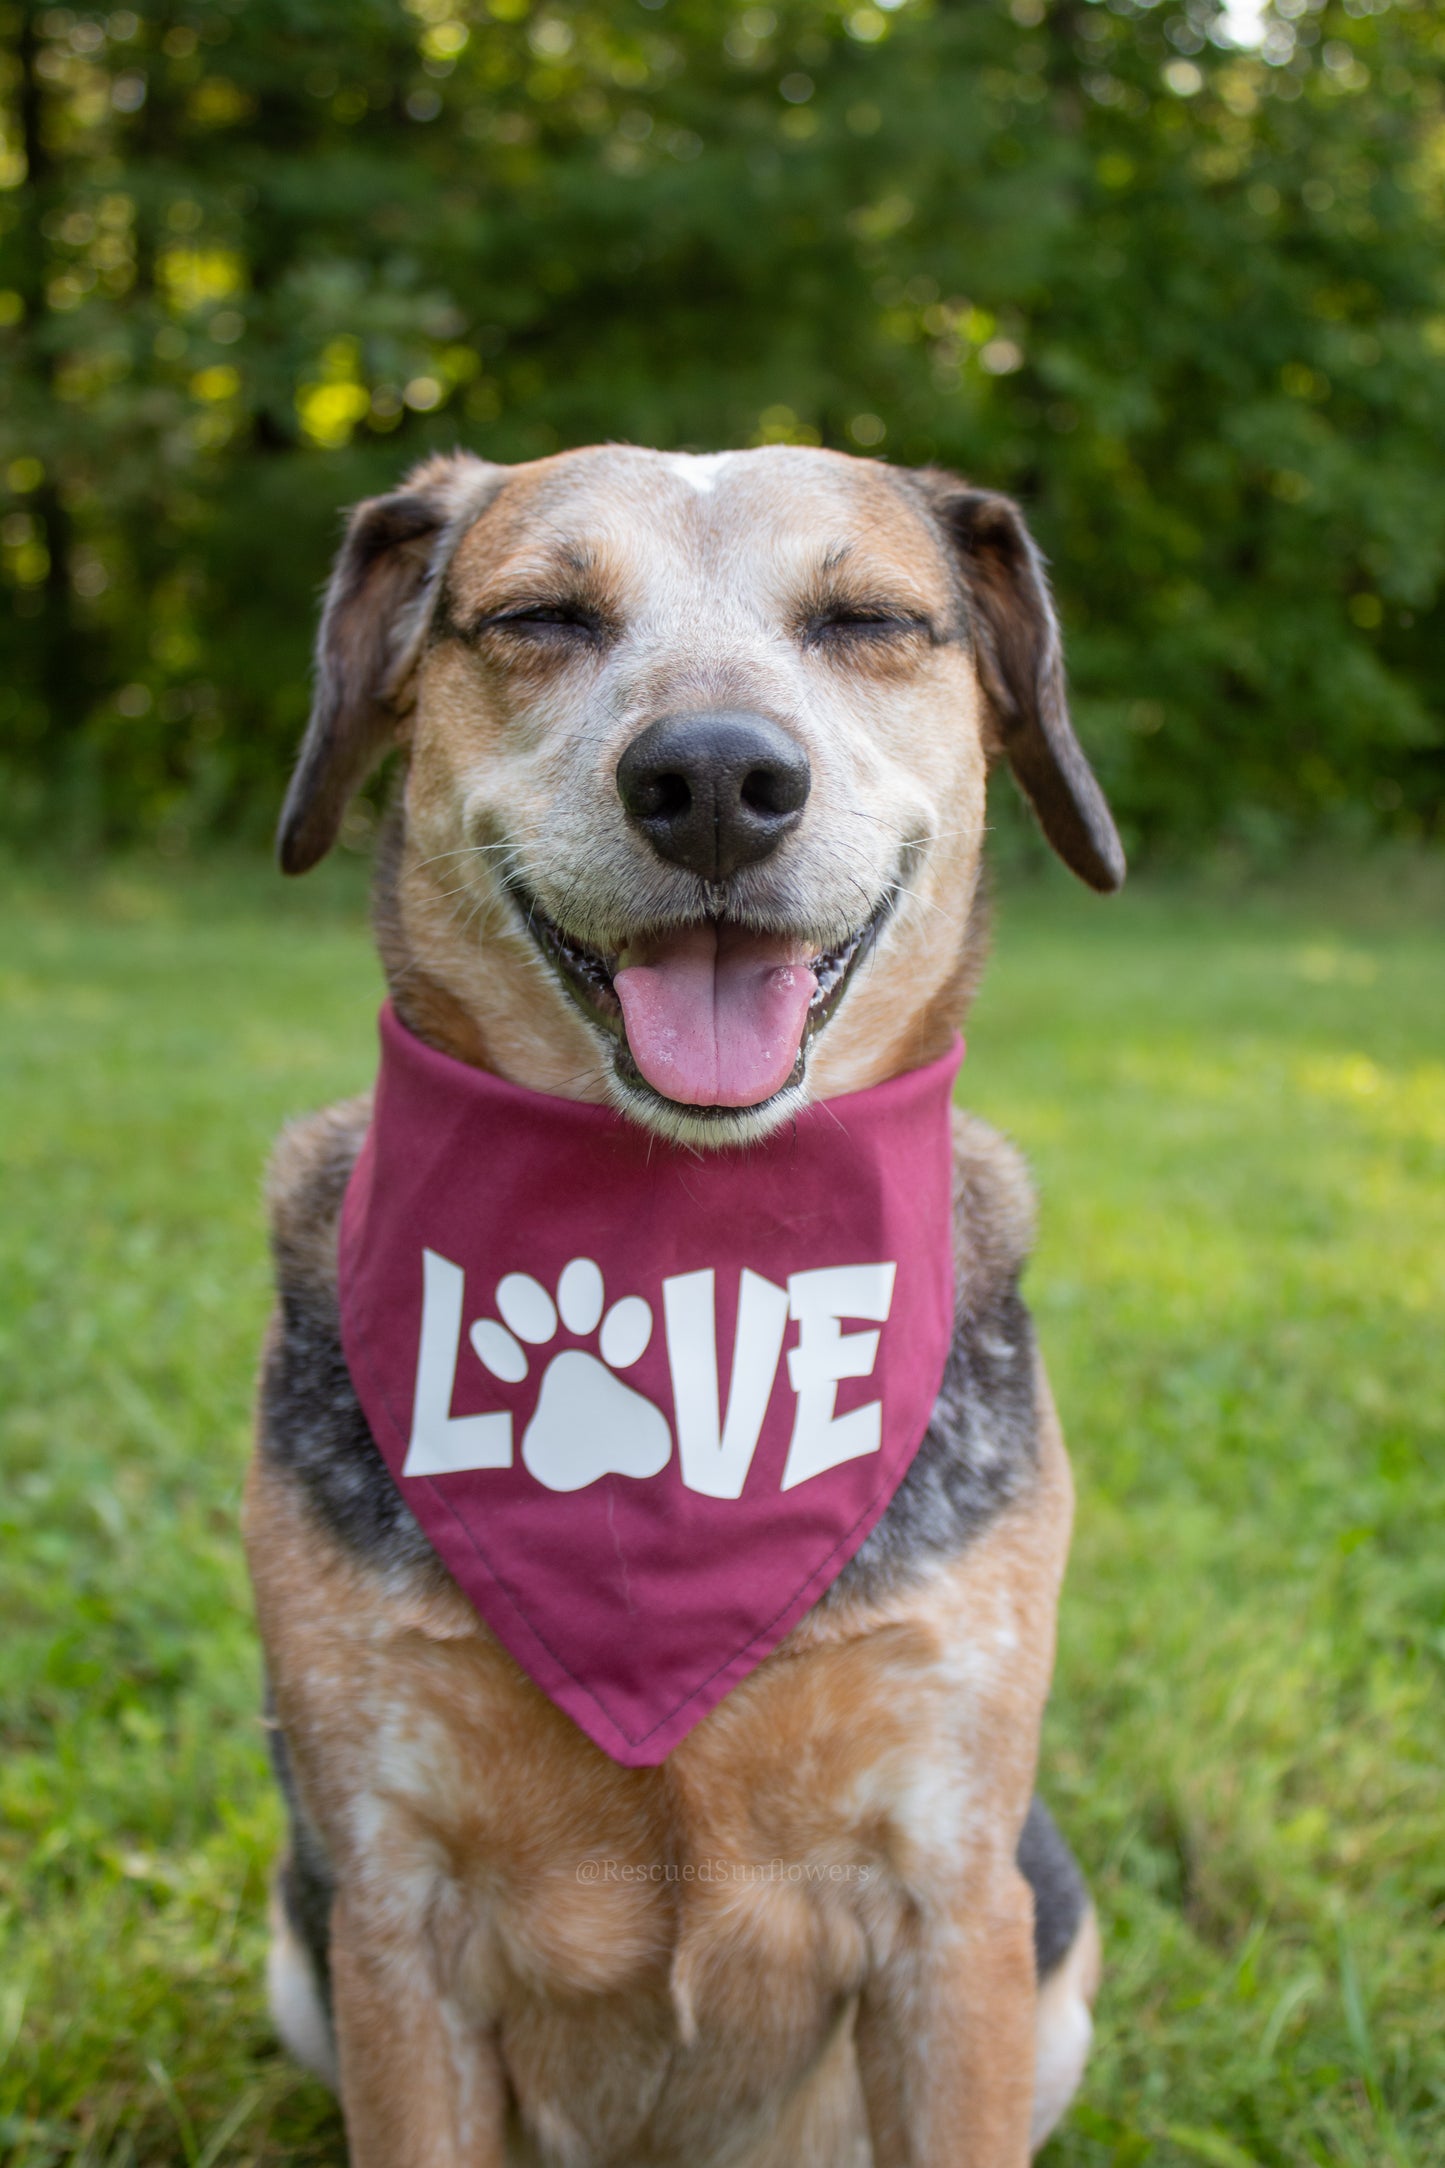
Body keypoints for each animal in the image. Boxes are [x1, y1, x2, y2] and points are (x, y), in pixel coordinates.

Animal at [249, 440, 1126, 2168]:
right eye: (540, 617)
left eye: (867, 619)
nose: (715, 778)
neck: (681, 1245)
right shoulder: (387, 1917)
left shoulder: (952, 1906)